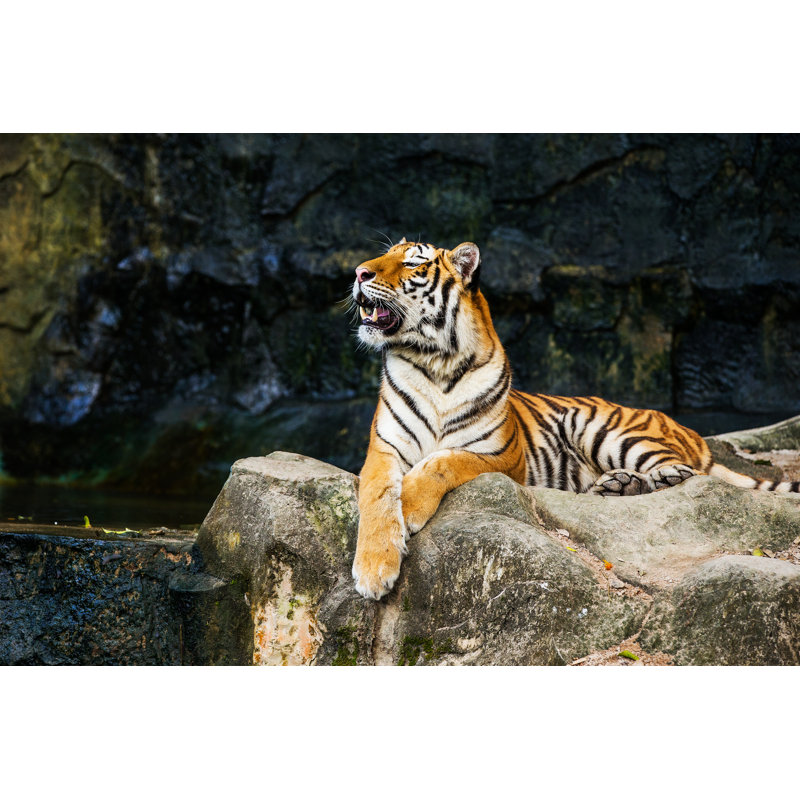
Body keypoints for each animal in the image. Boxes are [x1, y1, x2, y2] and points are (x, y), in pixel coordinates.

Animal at [349, 238, 800, 600]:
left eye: (412, 262)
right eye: (384, 254)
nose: (358, 272)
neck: (435, 364)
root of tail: (688, 429)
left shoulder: (501, 456)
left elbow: (442, 462)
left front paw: (409, 505)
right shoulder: (383, 449)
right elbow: (376, 499)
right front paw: (374, 571)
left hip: (608, 431)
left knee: (683, 471)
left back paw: (651, 478)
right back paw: (616, 486)